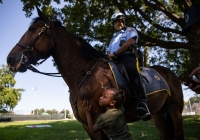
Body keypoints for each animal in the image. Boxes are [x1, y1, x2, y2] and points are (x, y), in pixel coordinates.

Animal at [6, 7, 184, 140]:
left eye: (32, 29)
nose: (10, 59)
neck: (85, 74)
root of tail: (169, 73)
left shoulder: (99, 122)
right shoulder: (88, 125)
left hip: (175, 111)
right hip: (159, 114)